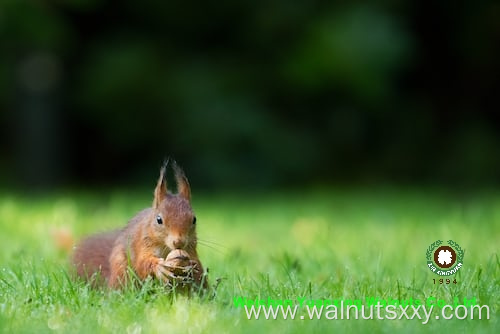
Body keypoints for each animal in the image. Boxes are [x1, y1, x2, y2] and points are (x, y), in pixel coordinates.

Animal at [71, 162, 206, 290]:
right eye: (159, 220)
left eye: (194, 219)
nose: (179, 242)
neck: (166, 247)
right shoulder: (142, 242)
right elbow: (142, 262)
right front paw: (158, 267)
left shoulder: (191, 247)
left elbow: (195, 261)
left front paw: (191, 265)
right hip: (122, 271)